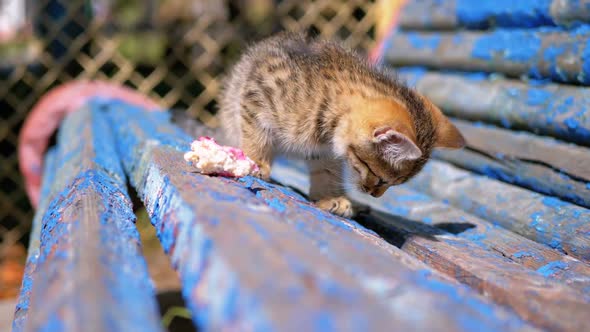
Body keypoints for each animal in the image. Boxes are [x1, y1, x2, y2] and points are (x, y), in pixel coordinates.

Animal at [220, 31, 464, 218]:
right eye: (379, 177)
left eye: (392, 183)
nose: (373, 195)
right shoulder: (257, 96)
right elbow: (257, 134)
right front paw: (256, 162)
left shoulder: (325, 152)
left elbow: (326, 173)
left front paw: (331, 198)